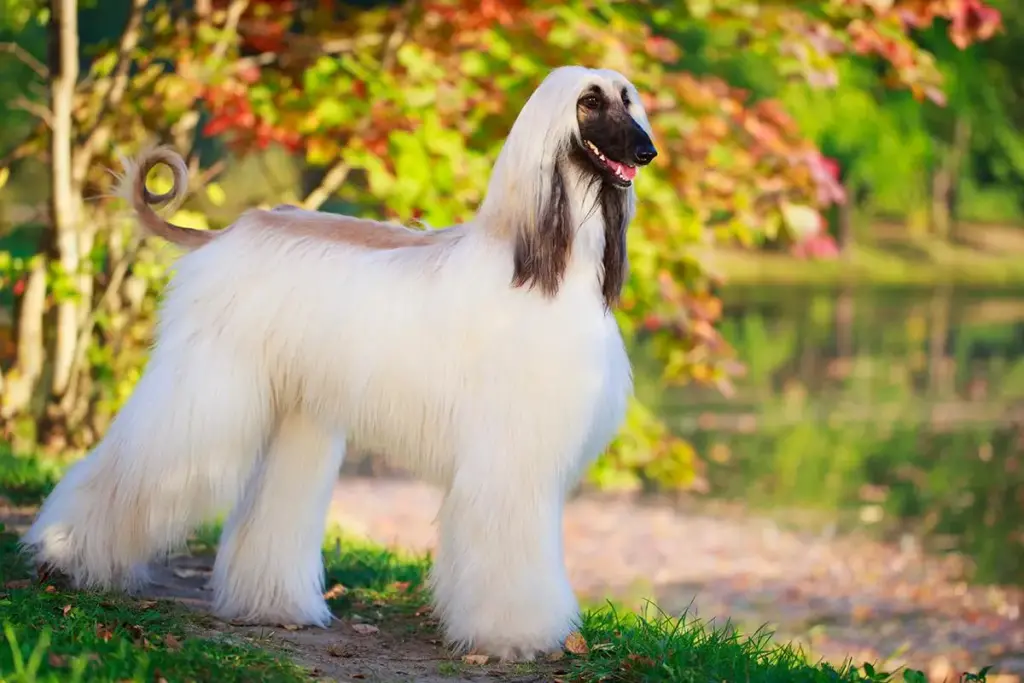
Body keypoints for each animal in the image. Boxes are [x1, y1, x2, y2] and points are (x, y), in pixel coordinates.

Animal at [25, 65, 663, 663]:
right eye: (589, 102)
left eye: (628, 99)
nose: (646, 152)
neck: (549, 264)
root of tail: (224, 233)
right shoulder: (509, 452)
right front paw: (518, 636)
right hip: (208, 387)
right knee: (136, 466)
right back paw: (64, 555)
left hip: (296, 408)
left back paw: (272, 606)